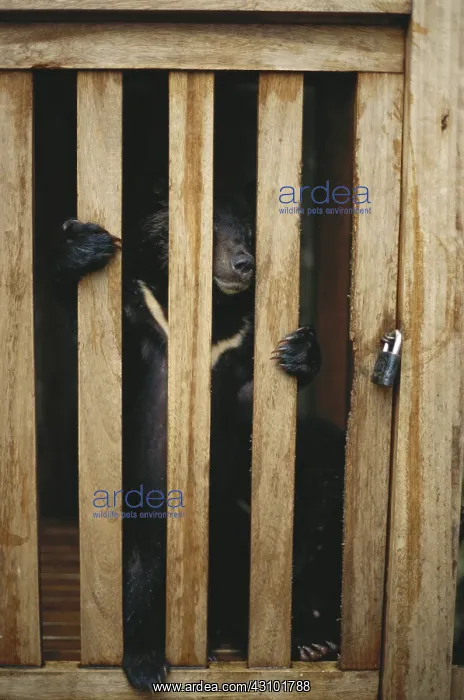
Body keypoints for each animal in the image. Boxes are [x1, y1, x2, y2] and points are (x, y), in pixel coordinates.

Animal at [54, 194, 344, 691]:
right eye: (213, 235)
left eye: (248, 236)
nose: (244, 264)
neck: (207, 321)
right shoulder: (146, 323)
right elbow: (91, 375)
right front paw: (84, 246)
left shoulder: (235, 349)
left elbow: (251, 402)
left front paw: (300, 351)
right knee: (141, 580)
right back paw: (148, 659)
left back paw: (307, 641)